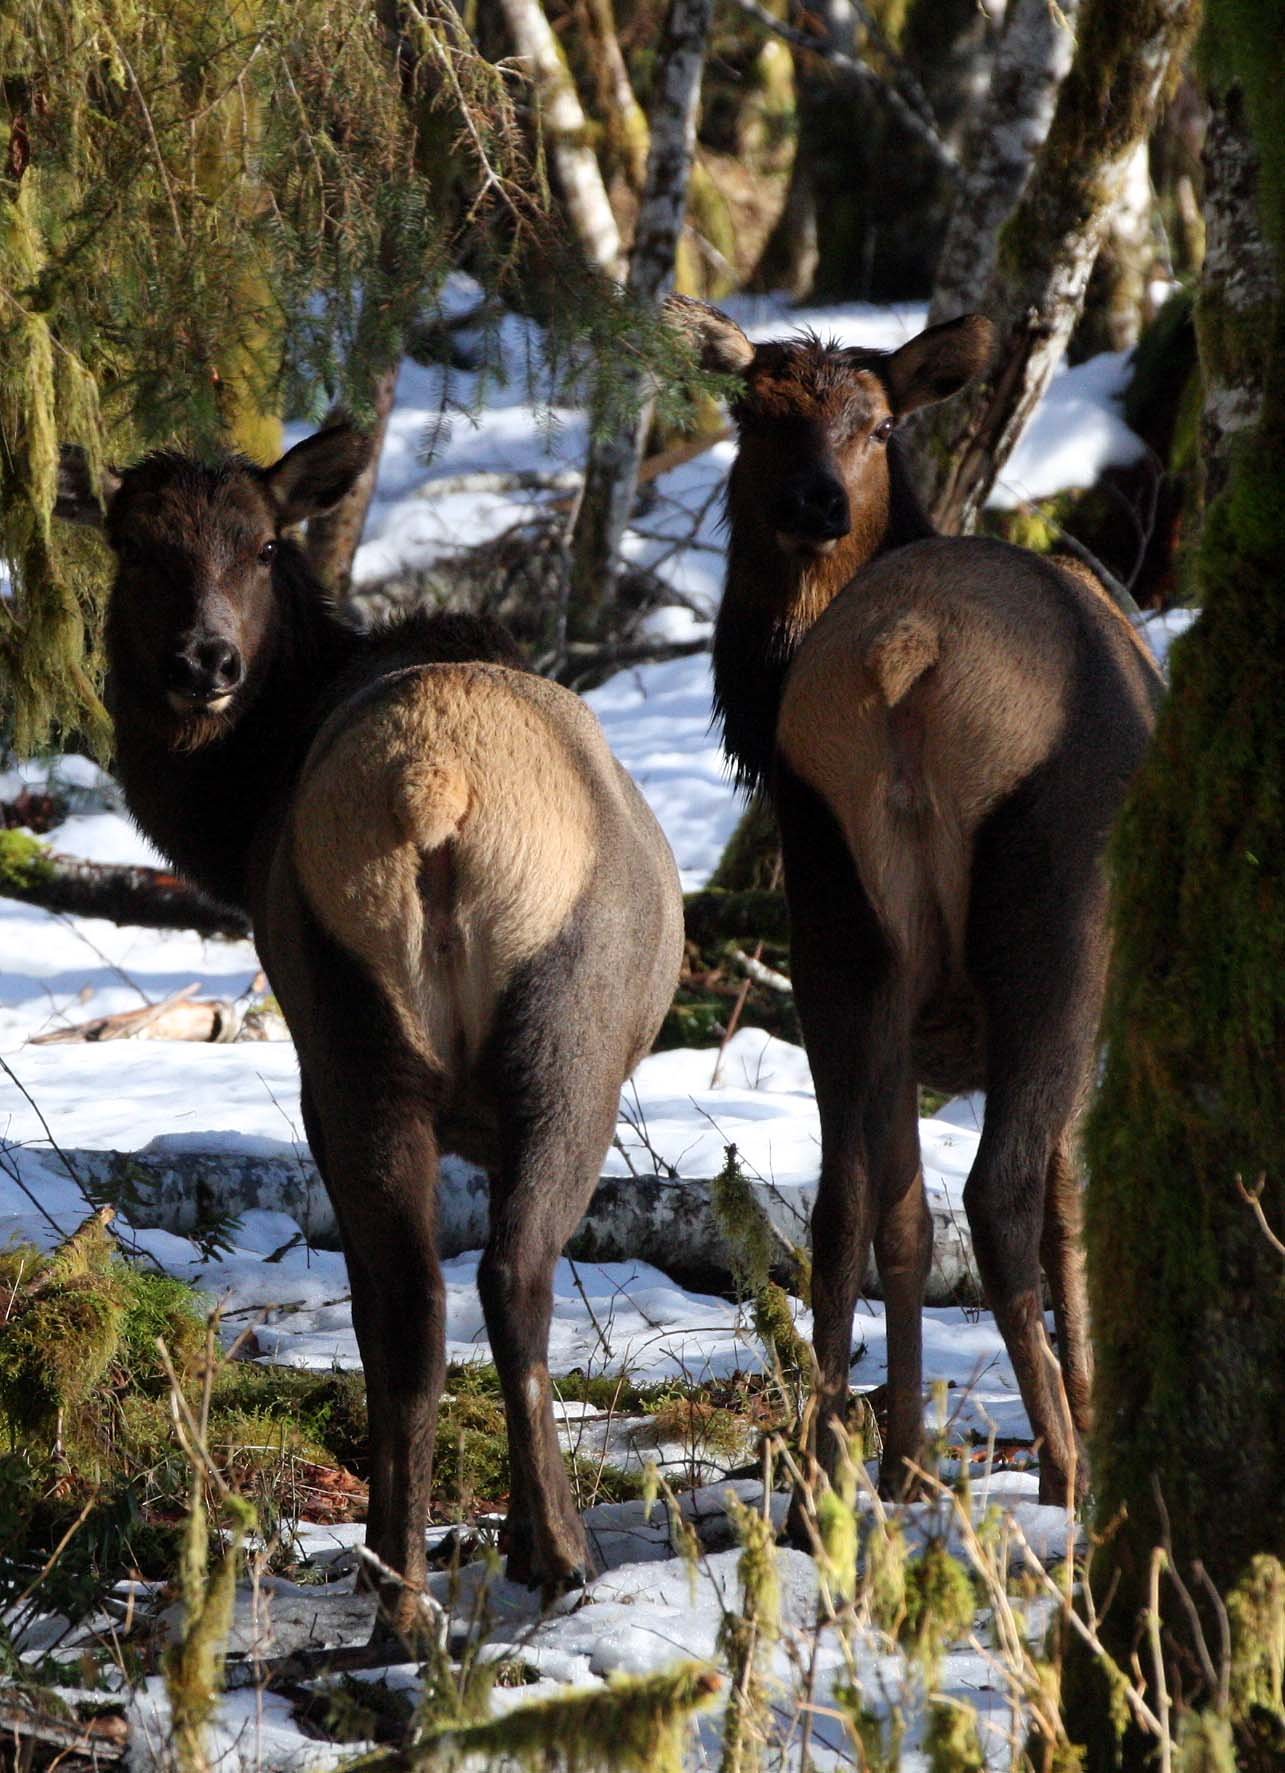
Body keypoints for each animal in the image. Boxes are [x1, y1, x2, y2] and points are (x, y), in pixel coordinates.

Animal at [66, 426, 684, 1634]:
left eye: (262, 544)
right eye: (134, 546)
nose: (205, 662)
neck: (232, 822)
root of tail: (436, 796)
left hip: (349, 1031)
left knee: (410, 1301)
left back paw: (396, 1585)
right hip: (561, 1045)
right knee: (502, 1279)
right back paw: (551, 1554)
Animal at [665, 296, 1161, 1510]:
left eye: (877, 424)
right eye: (752, 411)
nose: (816, 501)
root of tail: (905, 656)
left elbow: (895, 1211)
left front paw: (901, 1457)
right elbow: (1074, 1209)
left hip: (837, 915)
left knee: (842, 1197)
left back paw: (832, 1464)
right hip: (1055, 922)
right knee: (1001, 1195)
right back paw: (1064, 1472)